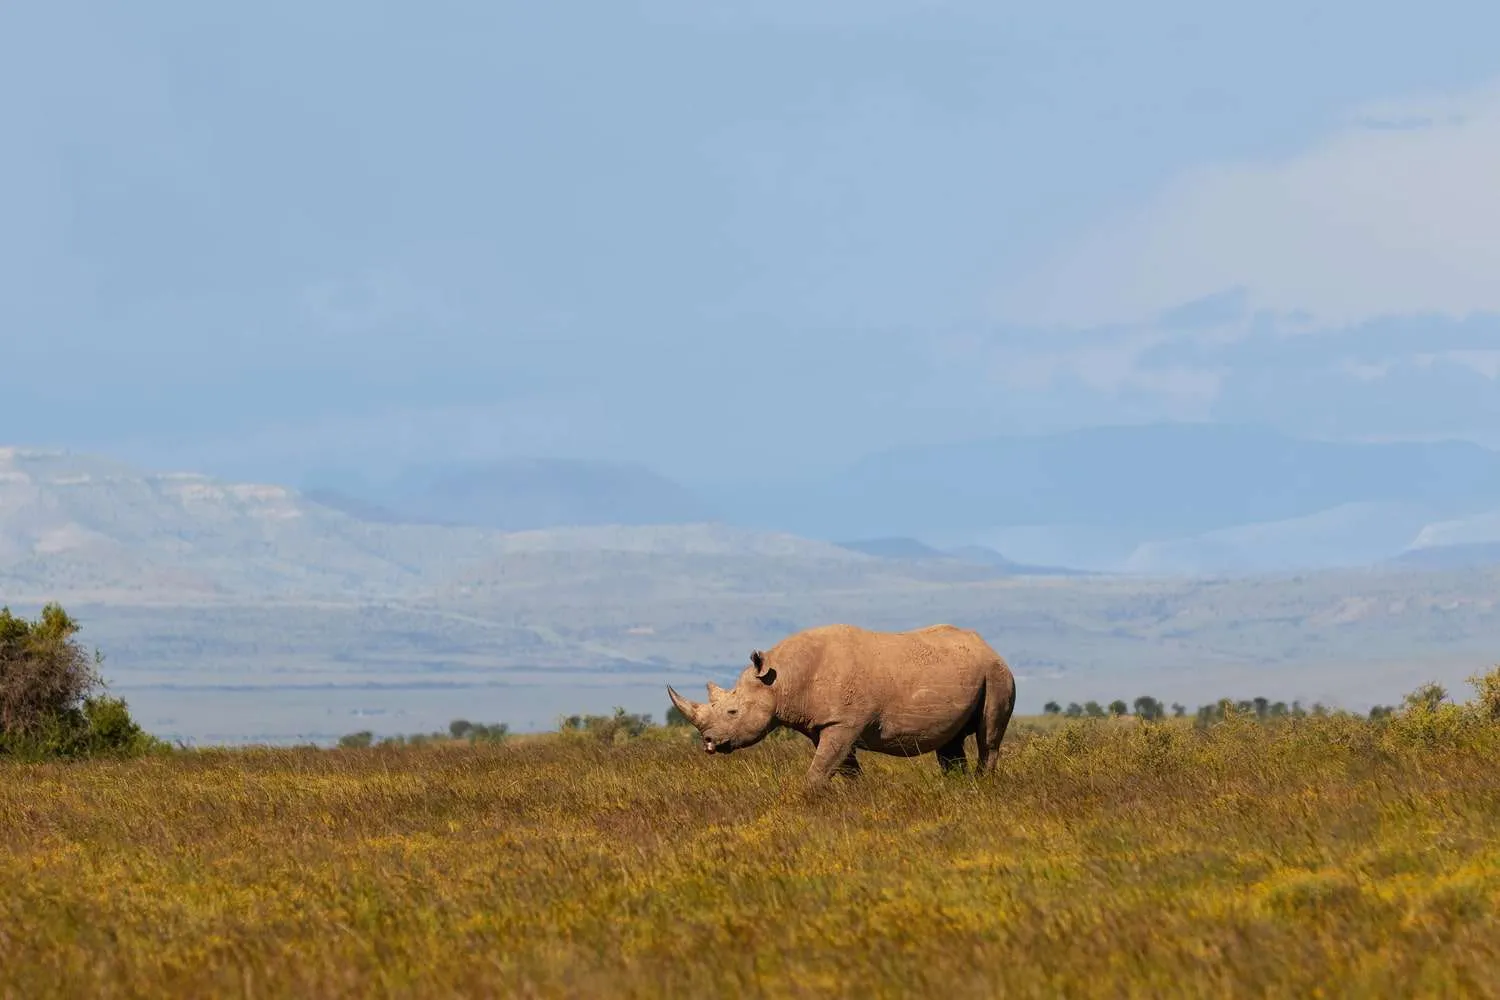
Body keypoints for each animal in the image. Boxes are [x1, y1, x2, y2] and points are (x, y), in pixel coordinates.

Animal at [666, 623, 1016, 790]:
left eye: (733, 712)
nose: (708, 742)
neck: (780, 680)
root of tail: (989, 647)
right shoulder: (825, 725)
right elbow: (843, 766)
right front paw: (858, 797)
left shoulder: (843, 722)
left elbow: (821, 768)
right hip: (970, 671)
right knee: (950, 742)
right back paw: (956, 788)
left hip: (997, 674)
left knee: (988, 737)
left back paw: (982, 786)